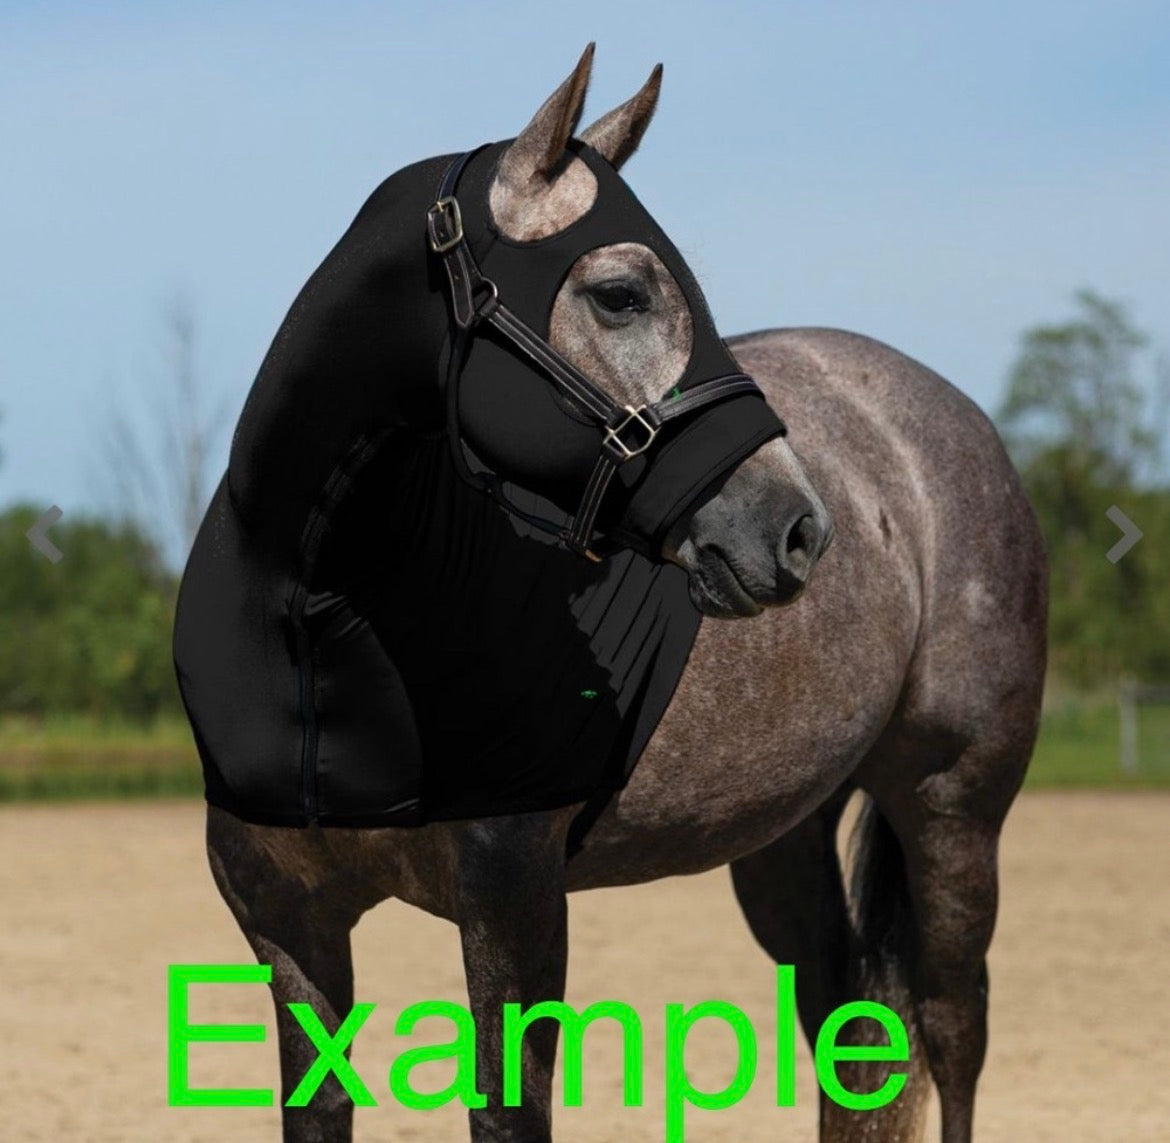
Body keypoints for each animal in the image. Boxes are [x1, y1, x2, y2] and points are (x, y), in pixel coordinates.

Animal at [194, 45, 1047, 1143]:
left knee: (952, 1028)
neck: (321, 643)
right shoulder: (287, 924)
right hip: (785, 834)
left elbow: (507, 1113)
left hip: (951, 805)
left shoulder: (513, 901)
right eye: (619, 293)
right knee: (849, 1035)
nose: (799, 528)